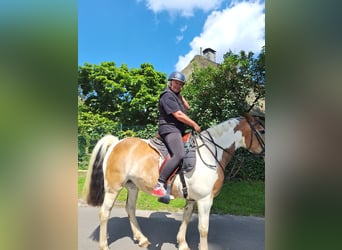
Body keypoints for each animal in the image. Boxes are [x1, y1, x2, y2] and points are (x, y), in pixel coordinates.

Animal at [82, 113, 264, 250]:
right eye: (261, 130)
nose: (263, 152)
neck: (210, 152)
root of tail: (116, 143)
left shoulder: (192, 199)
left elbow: (186, 218)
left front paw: (182, 243)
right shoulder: (205, 200)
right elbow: (203, 229)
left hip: (133, 187)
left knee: (130, 209)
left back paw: (141, 239)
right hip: (113, 188)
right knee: (104, 212)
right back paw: (104, 245)